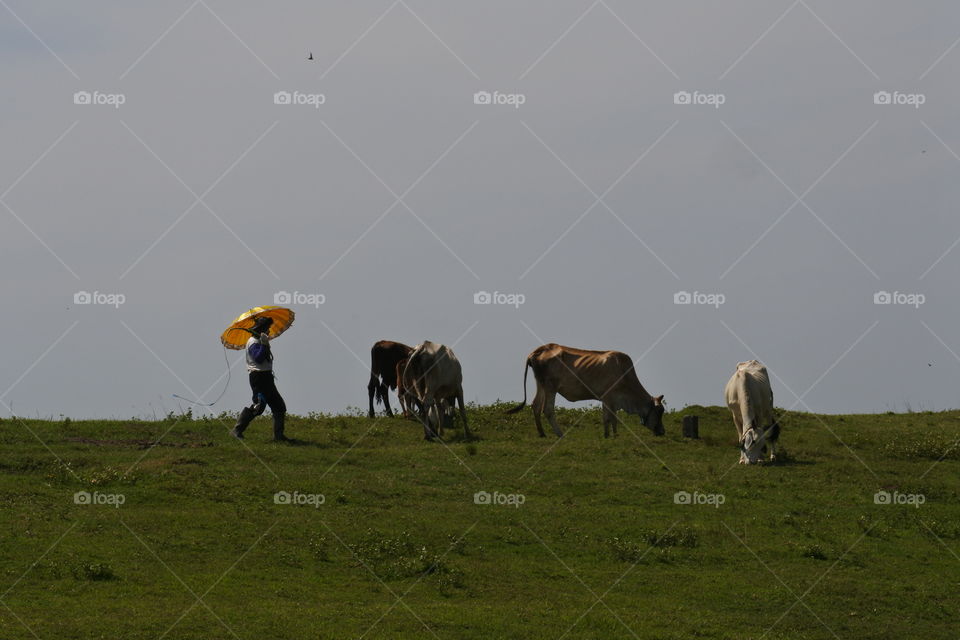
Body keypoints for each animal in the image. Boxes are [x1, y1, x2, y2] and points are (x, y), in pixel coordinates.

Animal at [506, 344, 664, 440]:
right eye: (659, 412)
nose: (662, 431)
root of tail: (538, 350)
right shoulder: (610, 398)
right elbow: (611, 418)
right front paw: (613, 436)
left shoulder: (608, 400)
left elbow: (609, 418)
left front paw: (609, 436)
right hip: (551, 387)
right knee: (548, 409)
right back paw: (561, 434)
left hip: (541, 384)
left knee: (536, 405)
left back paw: (542, 433)